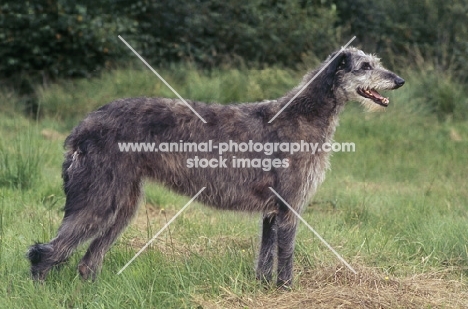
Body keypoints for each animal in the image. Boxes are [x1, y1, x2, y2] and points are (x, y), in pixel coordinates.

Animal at [27, 47, 404, 286]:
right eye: (365, 66)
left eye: (376, 62)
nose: (399, 80)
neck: (304, 113)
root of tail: (82, 126)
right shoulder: (288, 207)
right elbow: (286, 258)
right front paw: (287, 290)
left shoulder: (271, 211)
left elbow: (265, 256)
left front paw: (263, 288)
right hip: (100, 197)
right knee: (45, 253)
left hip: (123, 204)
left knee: (87, 261)